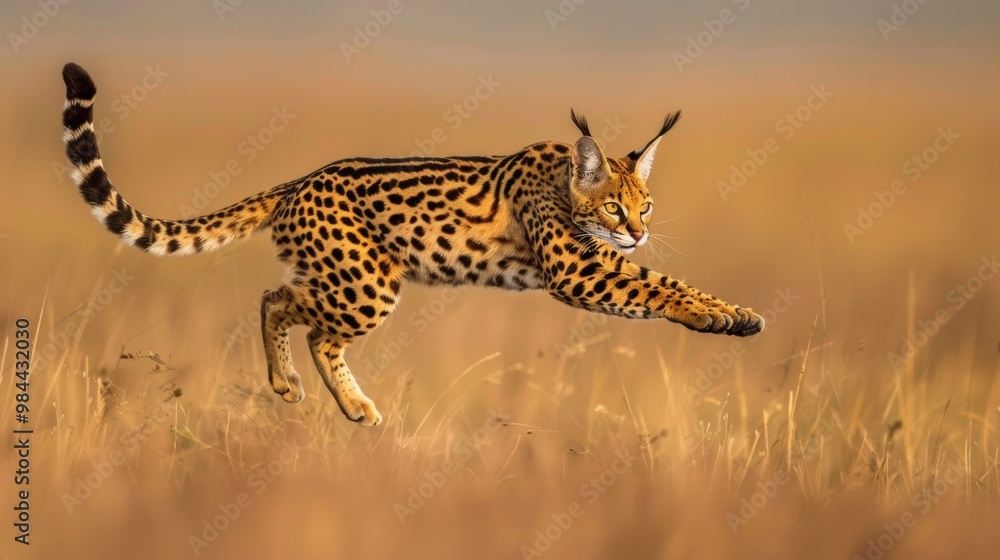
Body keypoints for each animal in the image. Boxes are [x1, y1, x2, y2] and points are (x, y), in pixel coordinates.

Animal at [60, 62, 764, 427]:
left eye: (647, 205)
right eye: (615, 205)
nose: (638, 230)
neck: (566, 183)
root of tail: (300, 178)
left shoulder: (593, 263)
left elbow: (659, 280)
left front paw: (735, 314)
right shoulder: (576, 270)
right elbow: (656, 286)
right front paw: (714, 314)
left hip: (349, 282)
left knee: (295, 312)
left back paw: (340, 401)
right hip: (366, 285)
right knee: (282, 307)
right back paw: (296, 387)